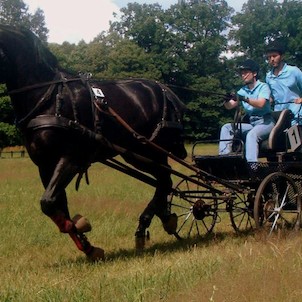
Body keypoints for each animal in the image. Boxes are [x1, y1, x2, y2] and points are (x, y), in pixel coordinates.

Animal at [0, 24, 186, 260]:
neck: (48, 98)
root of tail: (165, 91)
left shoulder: (69, 158)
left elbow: (49, 203)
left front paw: (80, 228)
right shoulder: (45, 165)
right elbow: (57, 205)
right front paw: (87, 245)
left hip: (151, 151)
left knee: (165, 180)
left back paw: (149, 224)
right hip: (136, 154)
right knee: (164, 181)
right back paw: (162, 218)